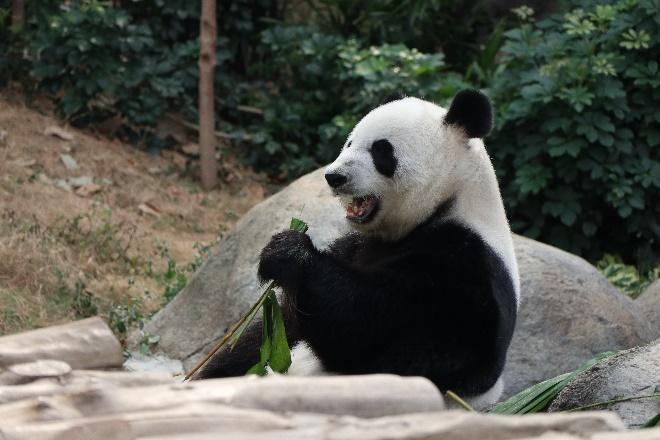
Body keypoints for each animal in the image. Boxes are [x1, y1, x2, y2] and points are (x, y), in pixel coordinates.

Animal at [196, 89, 520, 410]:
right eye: (350, 142)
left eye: (381, 150)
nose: (334, 176)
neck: (446, 205)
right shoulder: (354, 246)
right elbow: (278, 328)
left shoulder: (464, 275)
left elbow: (365, 330)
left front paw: (288, 253)